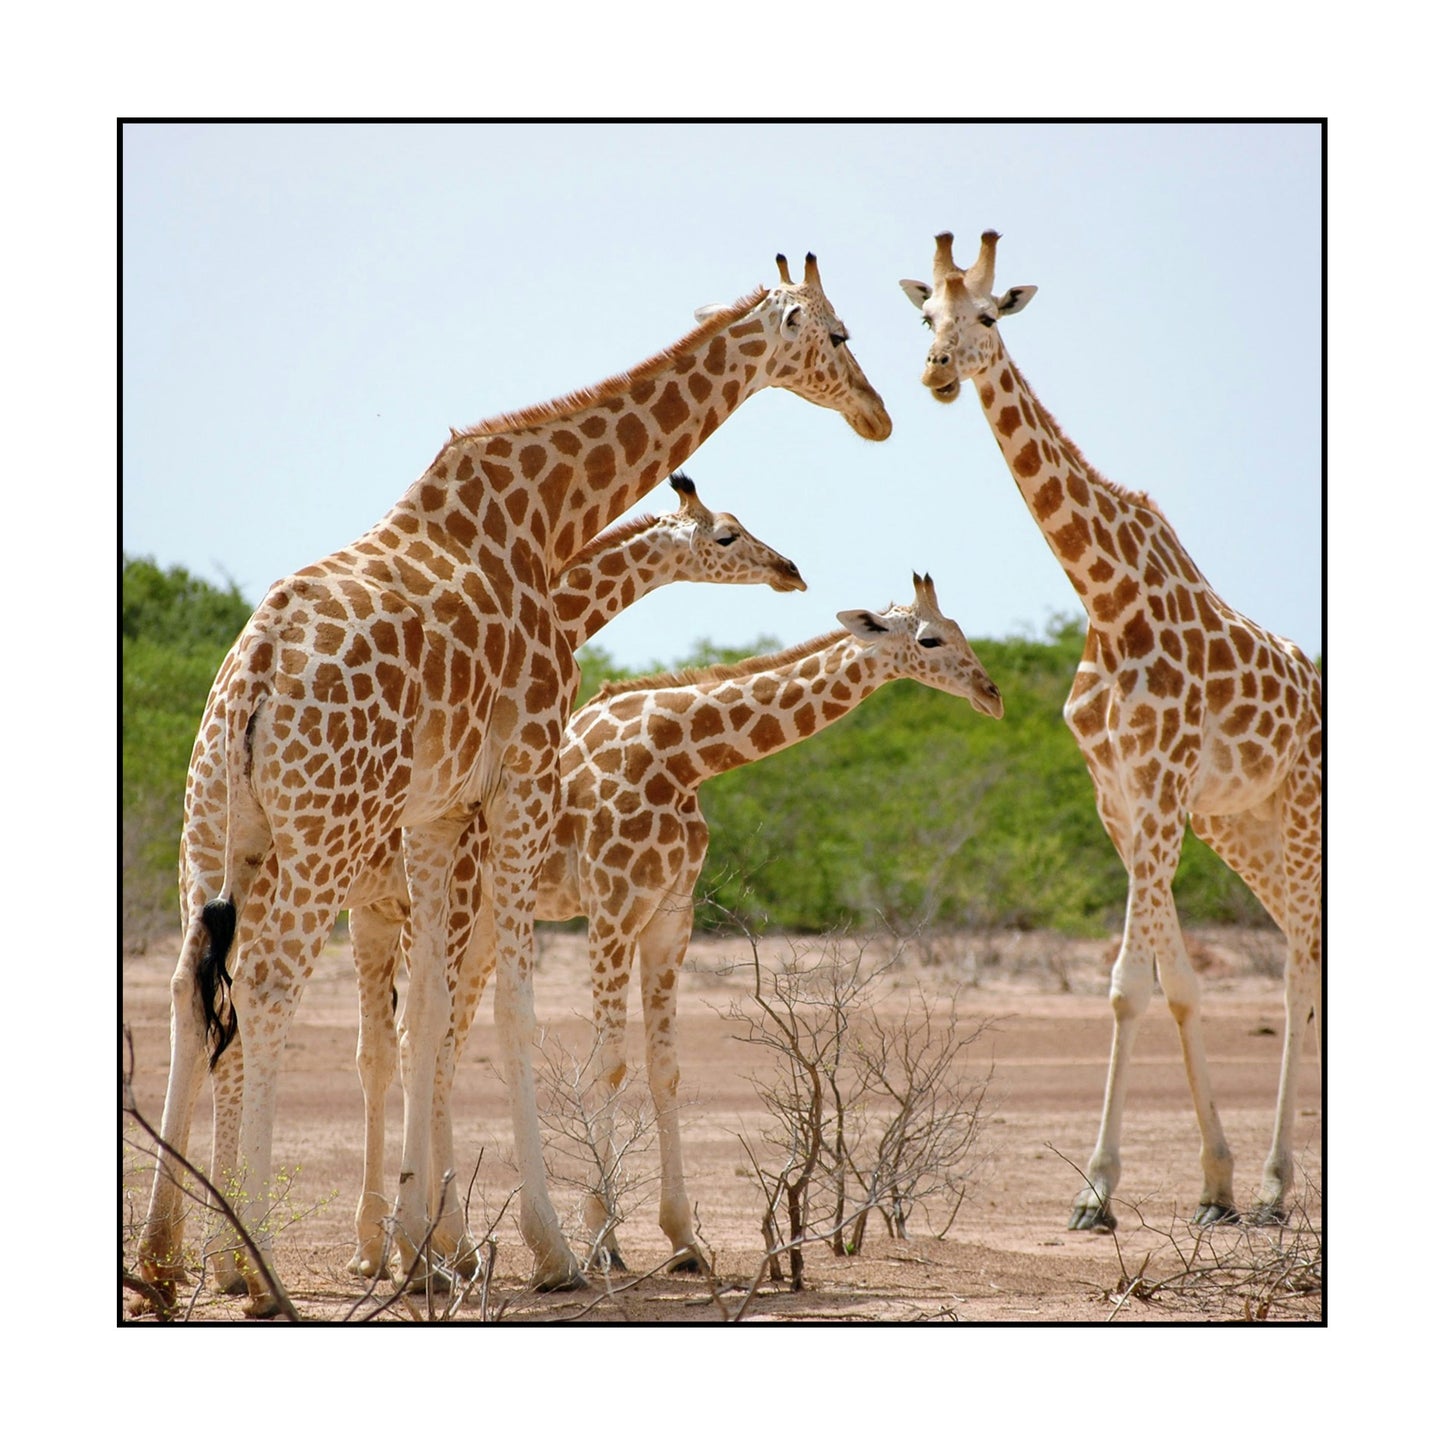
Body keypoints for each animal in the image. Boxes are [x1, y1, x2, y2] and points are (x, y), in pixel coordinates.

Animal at [341, 471, 814, 1277]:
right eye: (725, 534)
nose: (789, 569)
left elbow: (438, 1041)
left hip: (377, 913)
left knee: (378, 1049)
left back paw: (375, 1247)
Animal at [401, 575, 999, 1277]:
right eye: (931, 639)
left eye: (960, 629)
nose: (992, 695)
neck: (684, 756)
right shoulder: (611, 907)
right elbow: (609, 1063)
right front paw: (602, 1240)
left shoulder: (670, 915)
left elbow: (665, 1068)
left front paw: (683, 1240)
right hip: (452, 906)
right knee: (420, 1031)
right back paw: (430, 1242)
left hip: (489, 929)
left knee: (445, 1039)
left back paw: (448, 1242)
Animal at [901, 228, 1323, 1231]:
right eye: (924, 313)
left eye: (986, 316)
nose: (936, 371)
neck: (1106, 597)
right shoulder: (1120, 797)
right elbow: (1176, 986)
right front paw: (1209, 1184)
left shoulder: (1161, 783)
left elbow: (1130, 988)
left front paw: (1097, 1191)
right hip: (1239, 824)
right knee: (1305, 951)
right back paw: (1260, 1182)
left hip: (1297, 807)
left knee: (1299, 968)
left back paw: (1279, 1185)